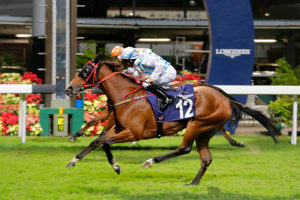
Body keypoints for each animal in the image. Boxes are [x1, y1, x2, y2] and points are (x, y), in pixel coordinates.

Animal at [65, 57, 278, 184]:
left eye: (85, 70)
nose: (69, 88)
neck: (127, 96)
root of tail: (226, 99)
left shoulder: (134, 132)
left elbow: (106, 143)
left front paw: (116, 167)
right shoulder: (117, 128)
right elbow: (97, 141)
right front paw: (73, 160)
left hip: (197, 125)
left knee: (184, 148)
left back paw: (150, 161)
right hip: (206, 131)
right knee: (206, 158)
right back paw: (193, 183)